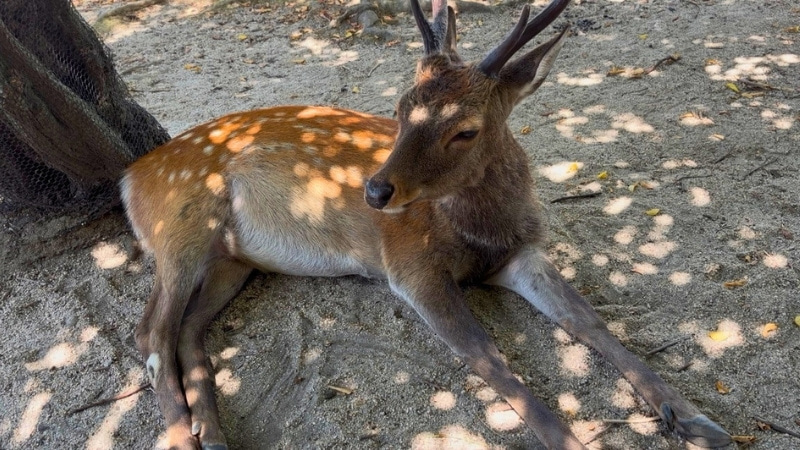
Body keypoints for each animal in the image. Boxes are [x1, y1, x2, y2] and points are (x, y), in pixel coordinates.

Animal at [120, 0, 732, 448]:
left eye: (466, 129)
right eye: (398, 107)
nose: (374, 191)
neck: (481, 233)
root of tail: (131, 176)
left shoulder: (523, 253)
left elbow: (592, 324)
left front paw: (697, 419)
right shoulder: (409, 265)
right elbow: (490, 359)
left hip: (232, 260)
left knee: (187, 329)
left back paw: (212, 433)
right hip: (182, 226)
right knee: (150, 331)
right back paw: (184, 436)